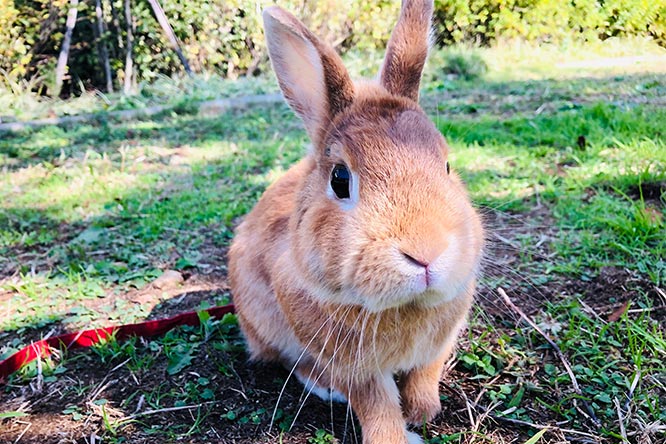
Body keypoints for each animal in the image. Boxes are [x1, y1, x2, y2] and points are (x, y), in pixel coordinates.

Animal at [226, 0, 480, 444]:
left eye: (448, 166)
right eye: (340, 180)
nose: (426, 254)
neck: (404, 307)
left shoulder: (438, 344)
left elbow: (425, 375)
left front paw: (424, 412)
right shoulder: (353, 366)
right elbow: (375, 404)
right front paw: (398, 436)